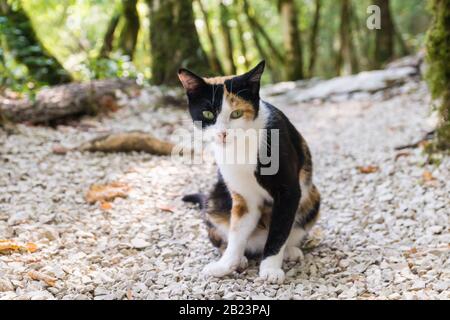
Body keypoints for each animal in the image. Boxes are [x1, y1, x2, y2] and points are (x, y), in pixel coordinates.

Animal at [178, 61, 322, 284]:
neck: (241, 147)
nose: (223, 134)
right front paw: (226, 264)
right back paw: (241, 259)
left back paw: (289, 251)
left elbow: (279, 230)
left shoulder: (288, 192)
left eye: (236, 113)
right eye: (208, 114)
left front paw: (270, 268)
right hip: (213, 201)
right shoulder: (243, 197)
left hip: (312, 198)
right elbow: (237, 233)